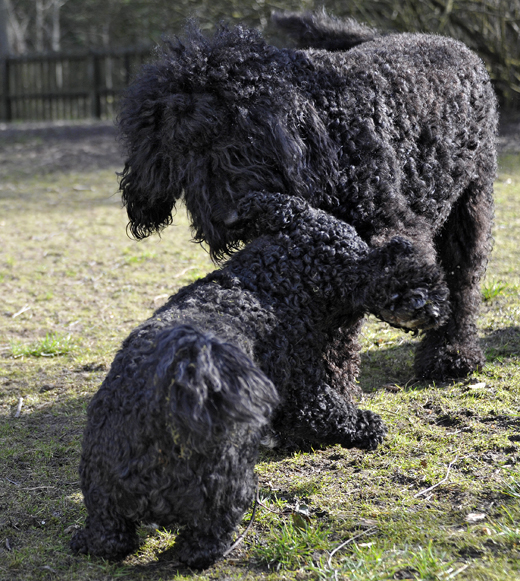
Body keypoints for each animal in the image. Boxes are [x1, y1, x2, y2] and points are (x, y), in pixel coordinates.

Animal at [71, 190, 446, 568]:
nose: (430, 309)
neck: (267, 283)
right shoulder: (301, 388)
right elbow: (332, 410)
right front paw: (368, 427)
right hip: (226, 482)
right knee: (209, 531)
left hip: (103, 487)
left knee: (110, 532)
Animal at [117, 12, 496, 380]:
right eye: (180, 153)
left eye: (241, 142)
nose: (228, 218)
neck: (324, 125)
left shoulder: (386, 217)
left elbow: (400, 255)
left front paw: (412, 298)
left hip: (470, 207)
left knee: (463, 281)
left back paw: (451, 354)